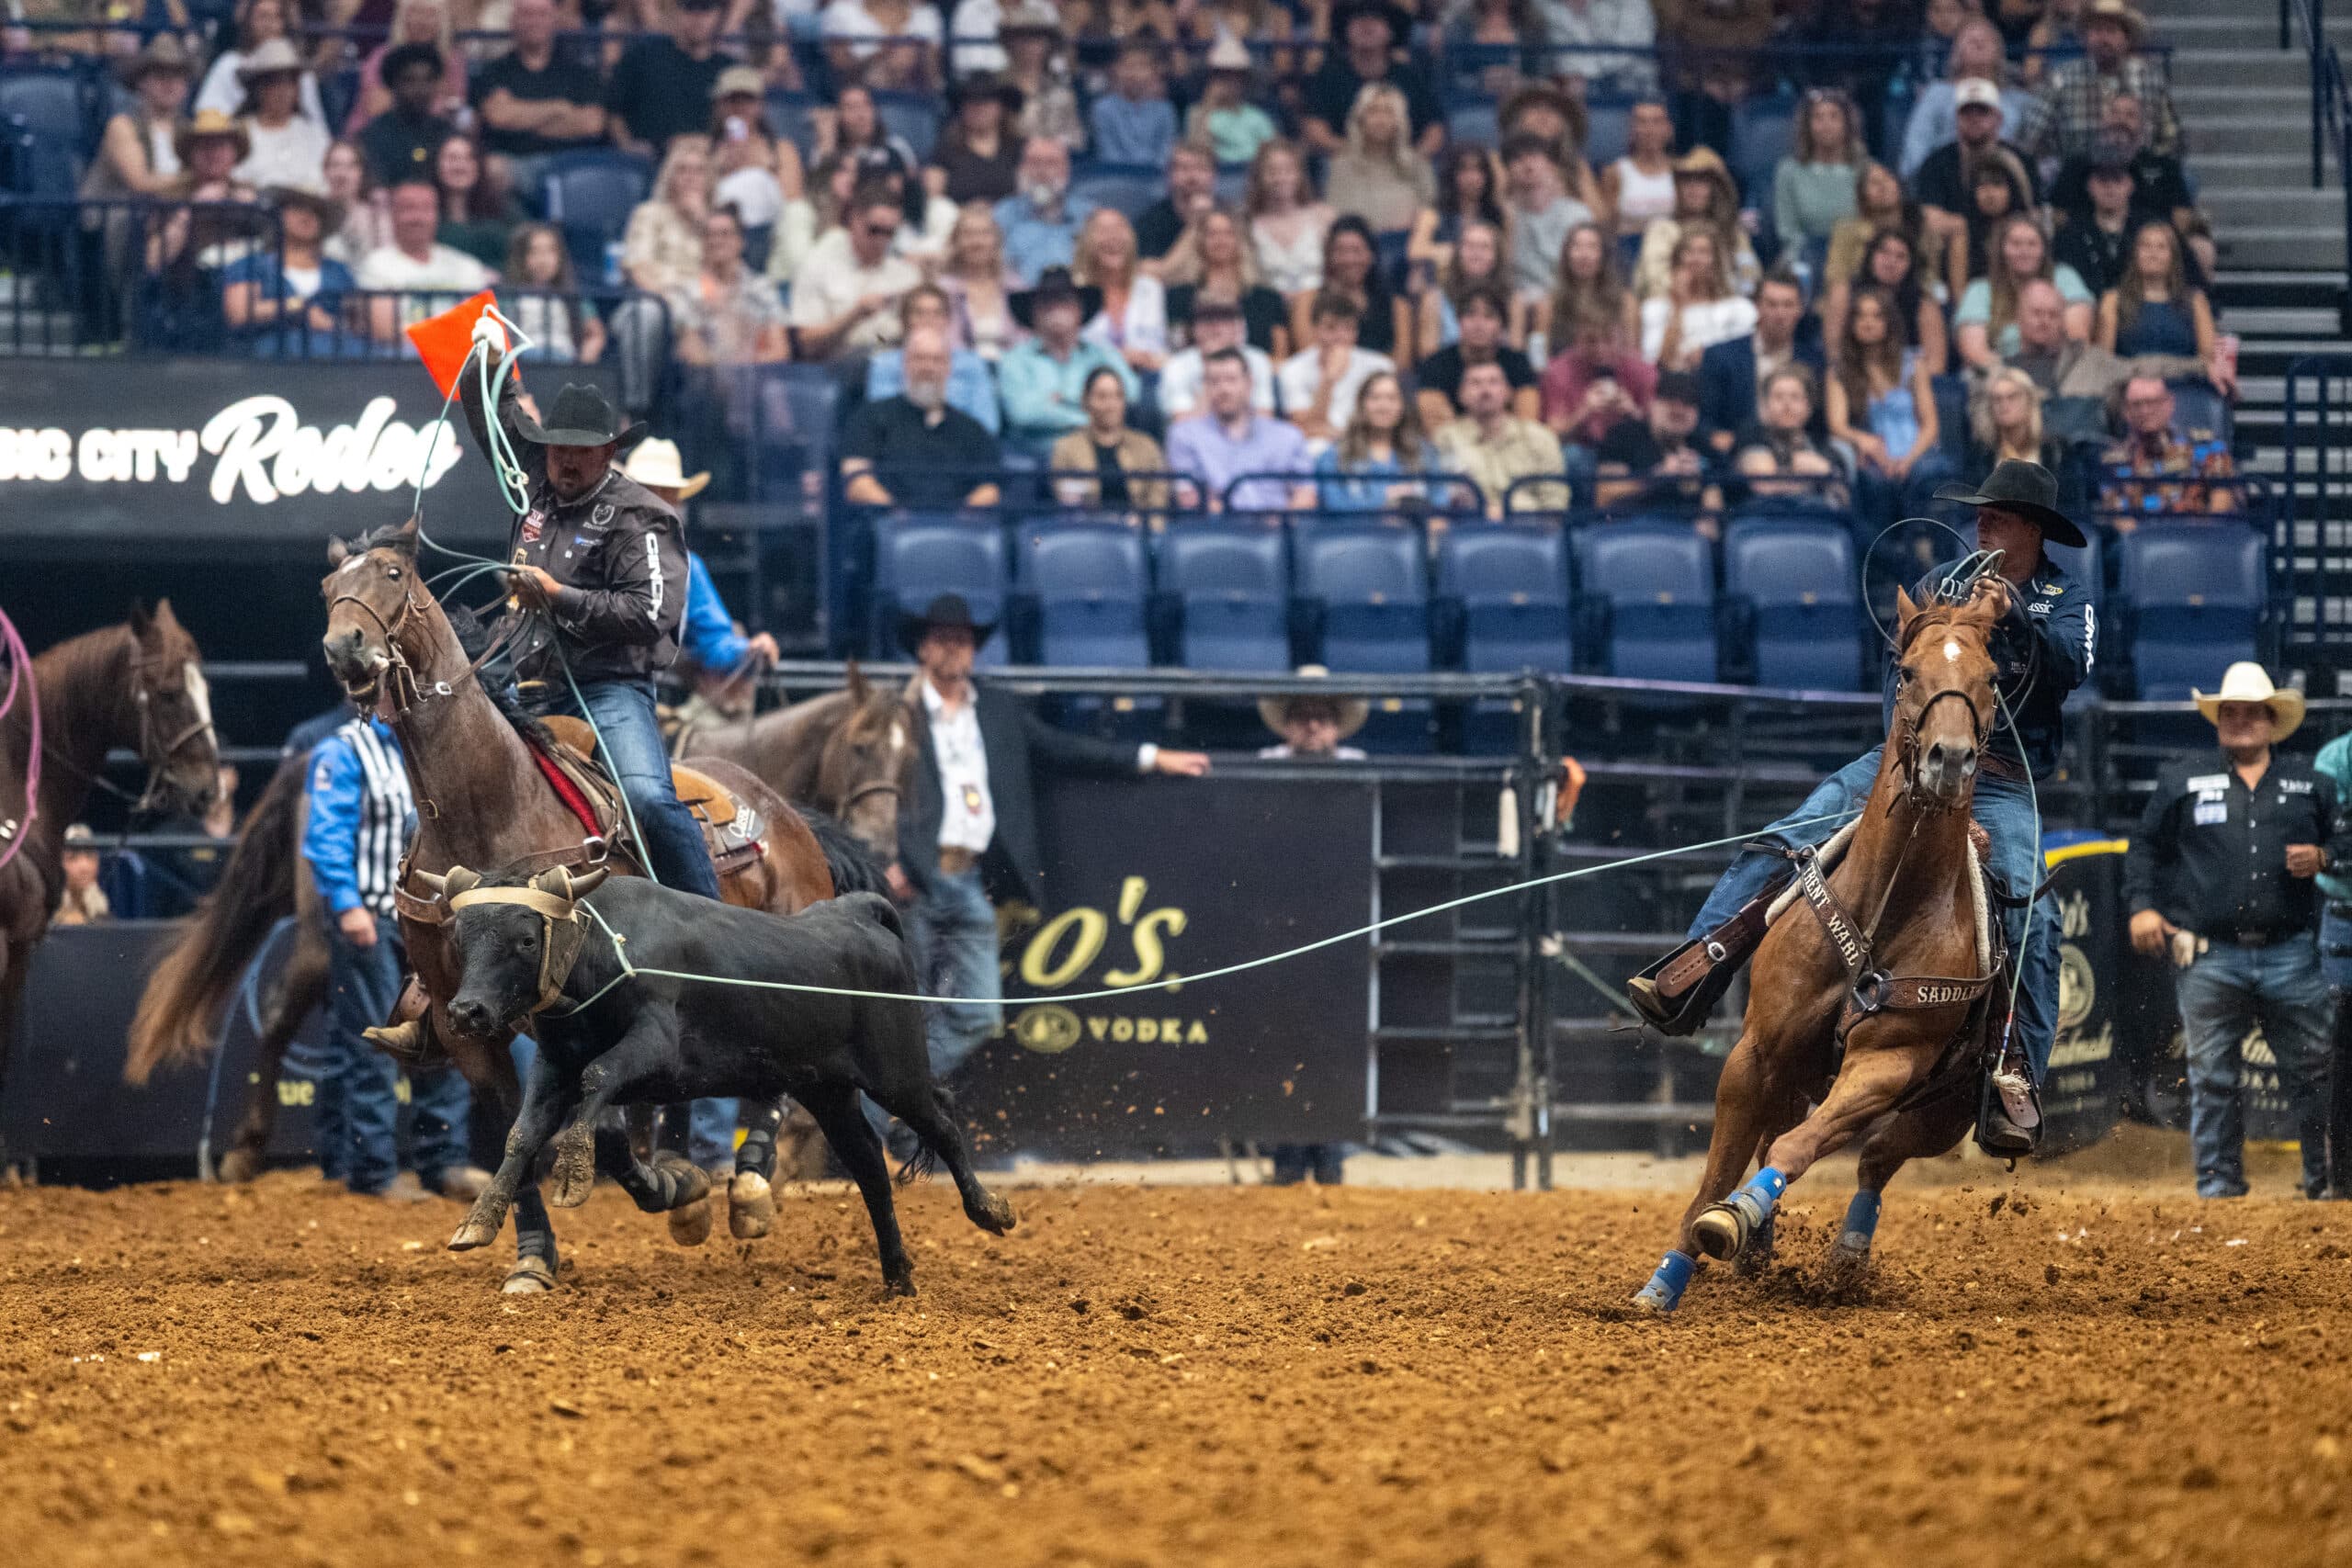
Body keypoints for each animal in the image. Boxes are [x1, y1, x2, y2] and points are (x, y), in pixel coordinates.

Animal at [1631, 585, 2011, 1315]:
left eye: (1992, 678)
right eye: (1907, 672)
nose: (1950, 760)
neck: (1887, 903)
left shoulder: (1888, 1061)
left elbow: (1799, 1145)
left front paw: (1737, 1217)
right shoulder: (1756, 1052)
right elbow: (1719, 1166)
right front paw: (1665, 1279)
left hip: (1944, 1111)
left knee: (1874, 1158)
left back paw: (1843, 1256)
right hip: (1798, 1074)